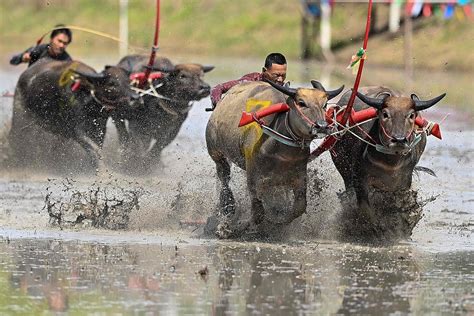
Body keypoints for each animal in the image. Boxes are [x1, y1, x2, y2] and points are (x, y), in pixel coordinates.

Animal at [8, 58, 138, 169]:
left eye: (129, 81)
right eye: (112, 83)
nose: (135, 98)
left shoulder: (99, 129)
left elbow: (96, 148)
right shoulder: (76, 131)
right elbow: (94, 149)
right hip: (20, 115)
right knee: (15, 137)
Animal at [206, 79, 342, 239]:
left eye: (324, 104)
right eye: (301, 103)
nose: (321, 126)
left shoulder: (299, 178)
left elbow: (298, 208)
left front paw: (277, 219)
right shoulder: (253, 179)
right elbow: (258, 213)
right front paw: (236, 227)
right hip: (217, 154)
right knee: (224, 181)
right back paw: (227, 213)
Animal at [332, 86, 446, 242]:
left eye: (411, 115)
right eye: (385, 114)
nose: (399, 140)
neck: (390, 163)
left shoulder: (403, 183)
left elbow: (397, 207)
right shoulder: (360, 179)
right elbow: (365, 209)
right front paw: (375, 231)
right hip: (343, 168)